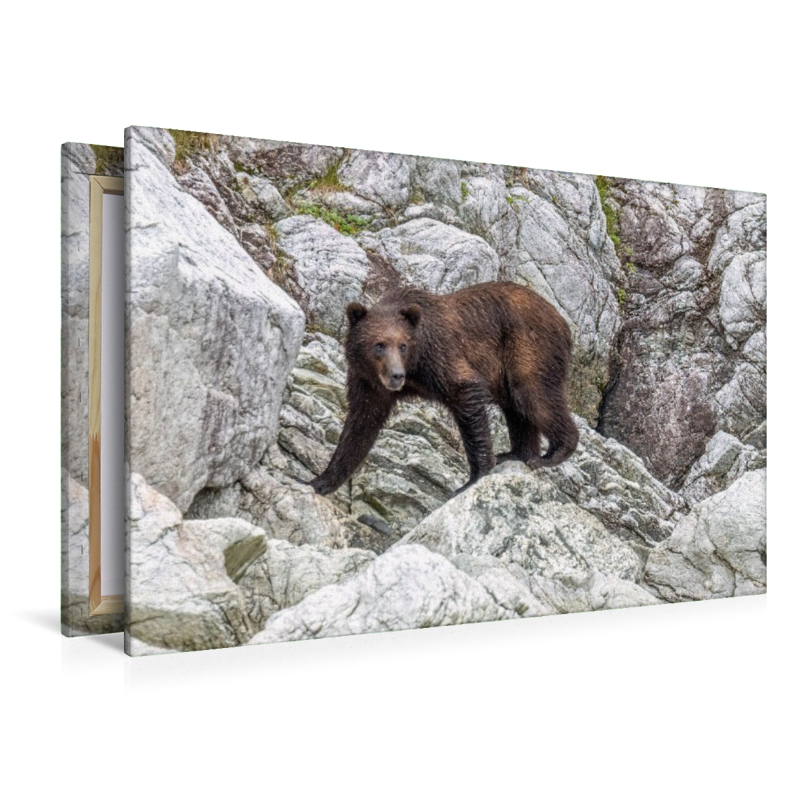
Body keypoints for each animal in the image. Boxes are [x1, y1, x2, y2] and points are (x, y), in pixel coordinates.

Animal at [310, 281, 579, 496]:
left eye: (403, 345)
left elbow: (467, 395)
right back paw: (517, 453)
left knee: (533, 395)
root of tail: (563, 322)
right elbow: (360, 425)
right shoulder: (369, 383)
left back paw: (550, 454)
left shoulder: (440, 357)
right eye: (379, 345)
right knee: (516, 408)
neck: (415, 368)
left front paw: (475, 476)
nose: (397, 376)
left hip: (529, 347)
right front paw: (321, 481)